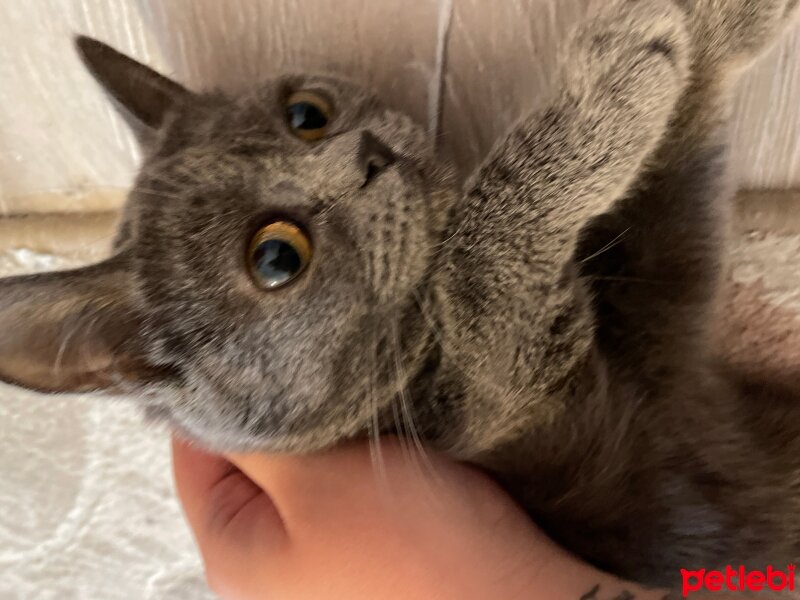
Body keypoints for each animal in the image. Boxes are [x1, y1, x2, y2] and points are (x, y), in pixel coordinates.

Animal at [1, 0, 800, 592]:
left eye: (306, 114)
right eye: (275, 256)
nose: (370, 154)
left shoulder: (662, 322)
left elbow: (679, 167)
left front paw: (717, 20)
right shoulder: (502, 403)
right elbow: (477, 260)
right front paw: (616, 74)